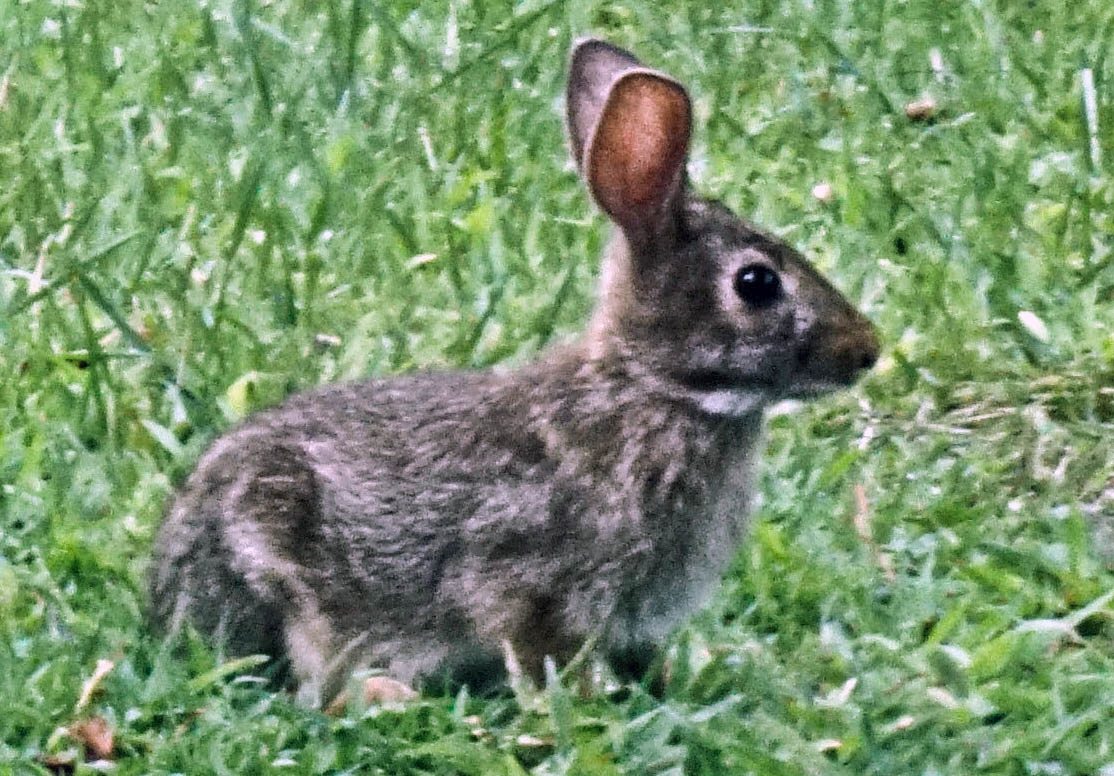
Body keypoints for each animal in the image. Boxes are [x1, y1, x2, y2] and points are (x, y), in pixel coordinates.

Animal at [148, 40, 877, 708]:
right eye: (756, 283)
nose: (866, 350)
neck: (653, 387)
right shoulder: (526, 579)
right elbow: (536, 647)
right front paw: (572, 709)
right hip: (280, 569)